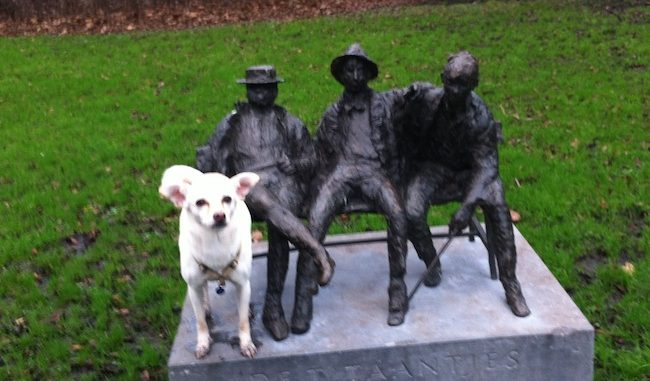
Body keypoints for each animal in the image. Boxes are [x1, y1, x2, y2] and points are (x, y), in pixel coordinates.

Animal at [159, 165, 258, 358]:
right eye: (200, 202)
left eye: (227, 199)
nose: (220, 215)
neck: (216, 243)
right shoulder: (193, 286)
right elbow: (200, 322)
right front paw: (203, 342)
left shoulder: (243, 284)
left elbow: (243, 321)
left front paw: (246, 343)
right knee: (204, 289)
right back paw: (205, 306)